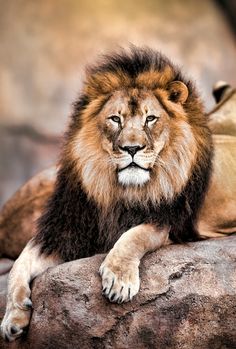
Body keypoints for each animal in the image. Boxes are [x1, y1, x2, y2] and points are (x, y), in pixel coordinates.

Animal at [0, 47, 215, 340]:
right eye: (116, 119)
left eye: (150, 118)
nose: (132, 148)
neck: (120, 192)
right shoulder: (66, 231)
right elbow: (20, 262)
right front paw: (13, 315)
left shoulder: (169, 223)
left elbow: (135, 235)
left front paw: (118, 279)